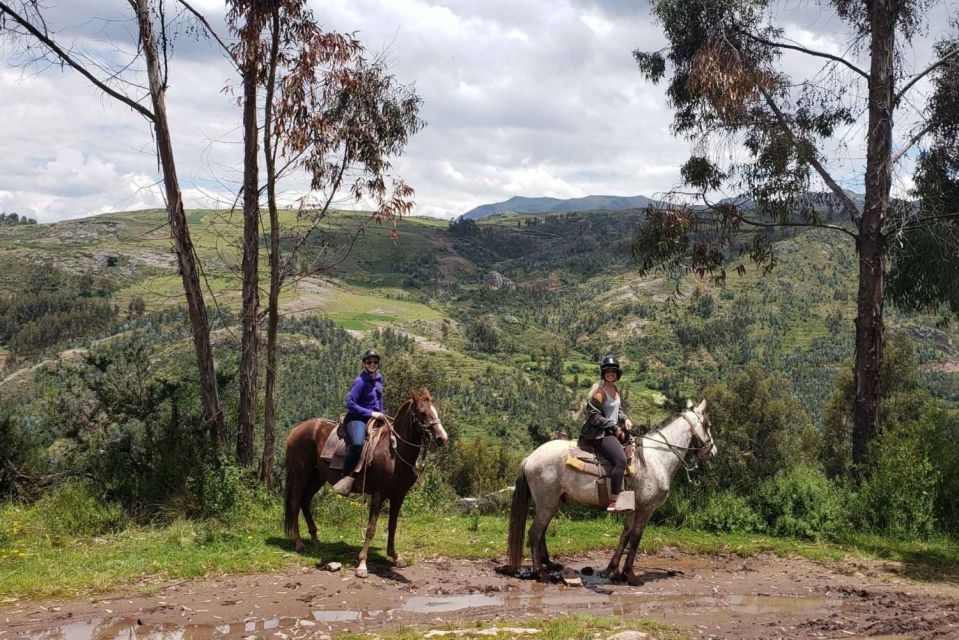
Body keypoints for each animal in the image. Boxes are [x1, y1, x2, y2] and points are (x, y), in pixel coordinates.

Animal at [284, 388, 448, 576]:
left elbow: (392, 526)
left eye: (435, 411)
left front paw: (395, 556)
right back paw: (298, 543)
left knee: (305, 502)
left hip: (317, 478)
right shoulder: (378, 494)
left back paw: (316, 539)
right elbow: (371, 529)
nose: (442, 438)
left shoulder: (398, 496)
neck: (394, 453)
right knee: (295, 503)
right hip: (301, 475)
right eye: (422, 412)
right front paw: (362, 563)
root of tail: (296, 430)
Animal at [506, 402, 716, 584]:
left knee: (542, 532)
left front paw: (612, 571)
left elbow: (625, 536)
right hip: (547, 503)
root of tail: (530, 458)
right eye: (708, 425)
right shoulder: (646, 509)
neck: (656, 458)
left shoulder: (633, 509)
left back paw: (549, 565)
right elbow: (636, 538)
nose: (712, 451)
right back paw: (540, 573)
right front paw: (630, 575)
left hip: (552, 503)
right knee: (535, 533)